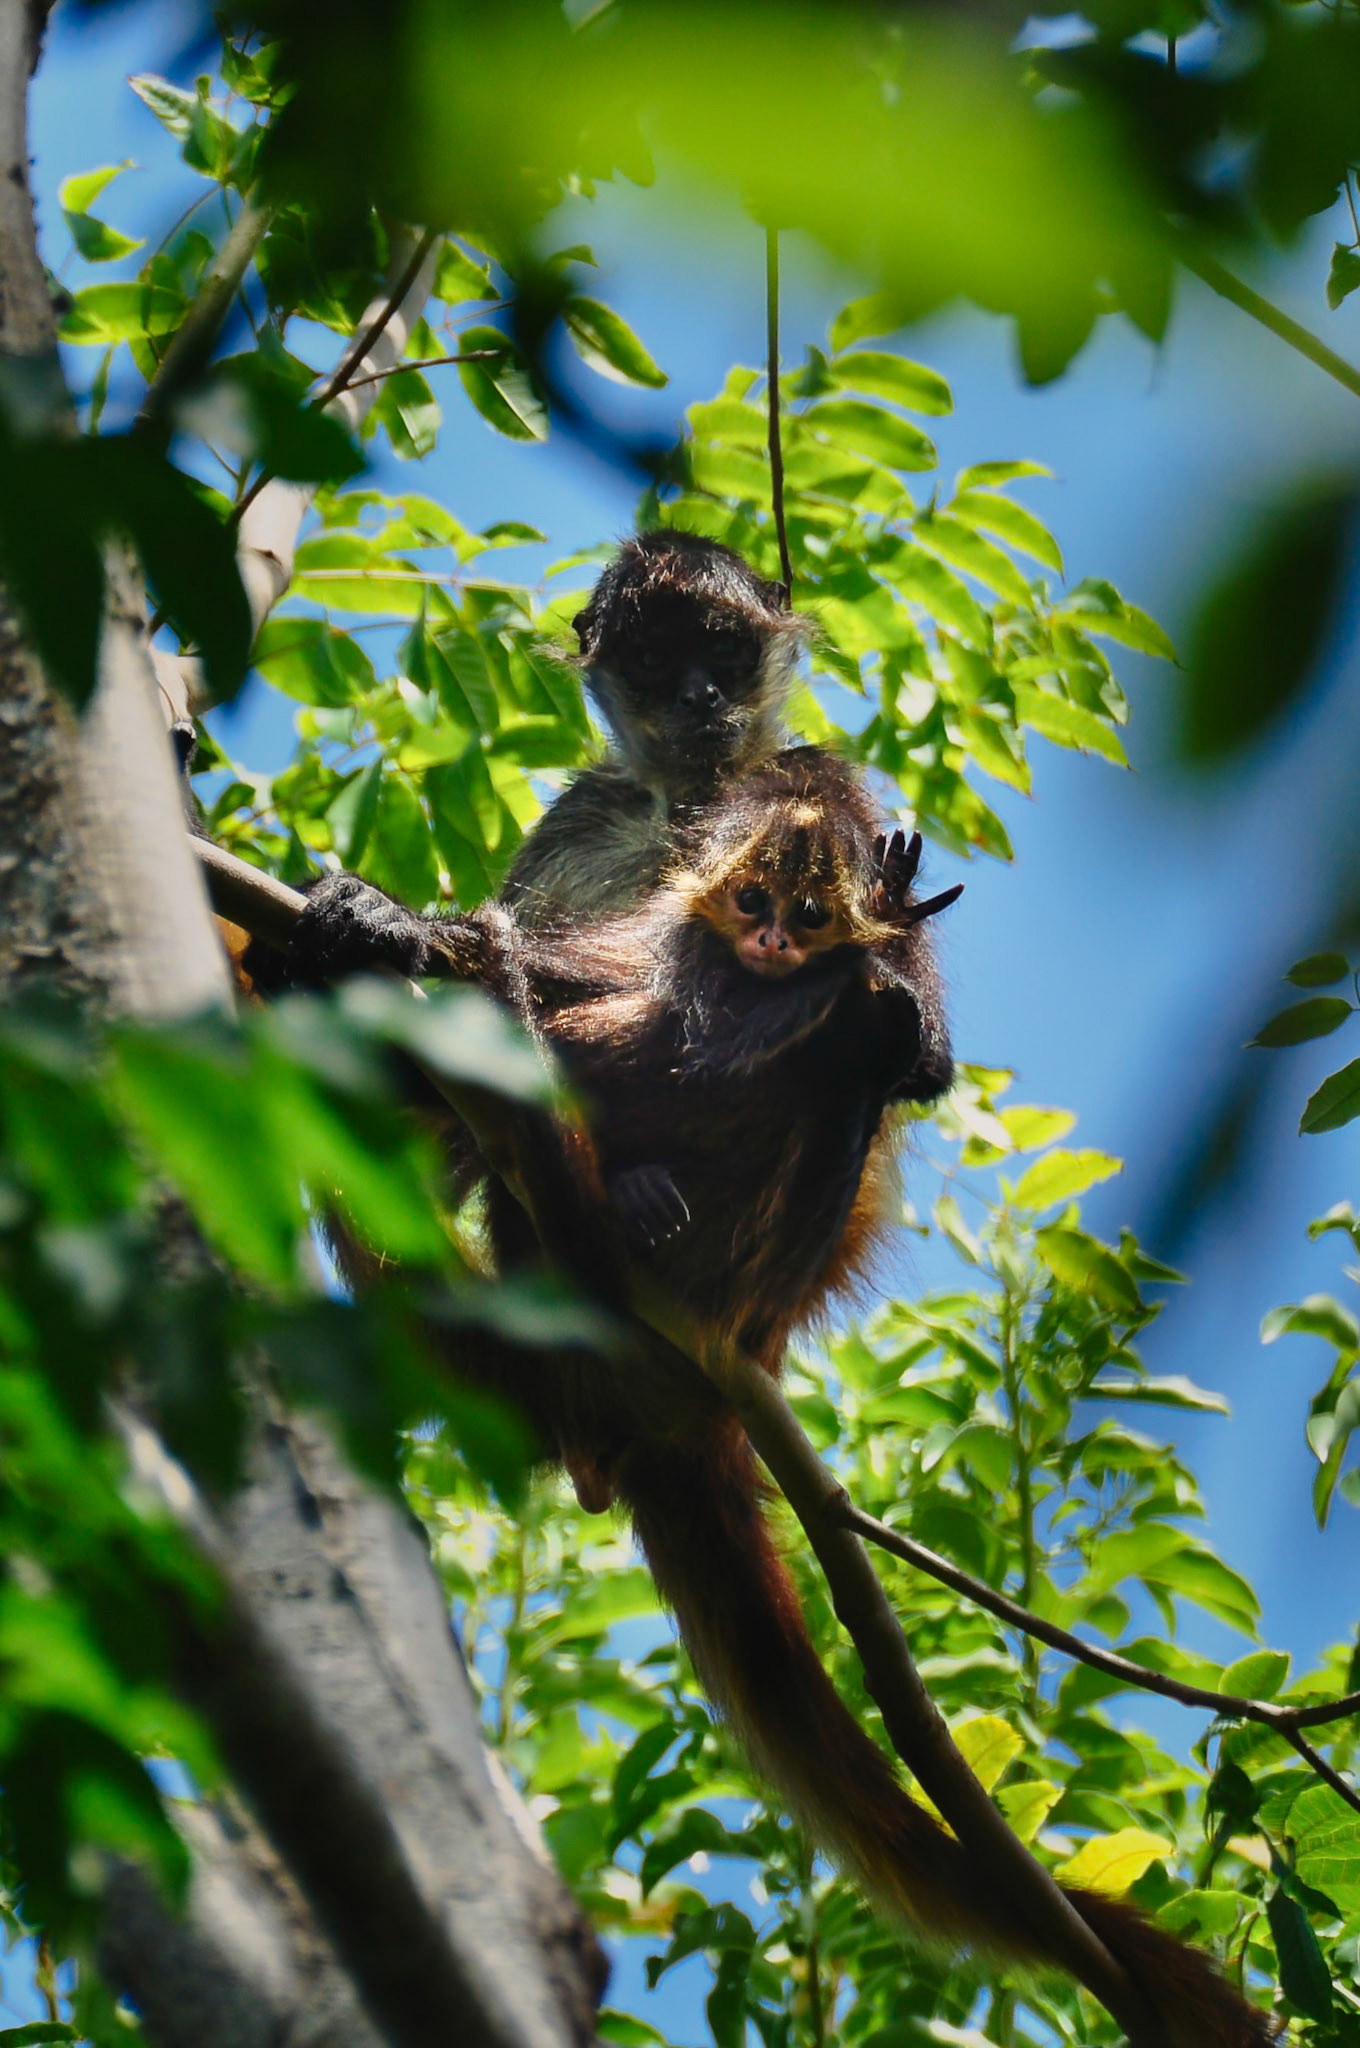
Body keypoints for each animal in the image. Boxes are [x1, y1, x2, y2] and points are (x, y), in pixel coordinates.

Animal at [267, 758, 1275, 2048]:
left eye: (803, 911)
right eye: (755, 895)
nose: (770, 936)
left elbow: (909, 1052)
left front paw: (880, 943)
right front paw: (371, 919)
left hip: (748, 1276)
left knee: (842, 1052)